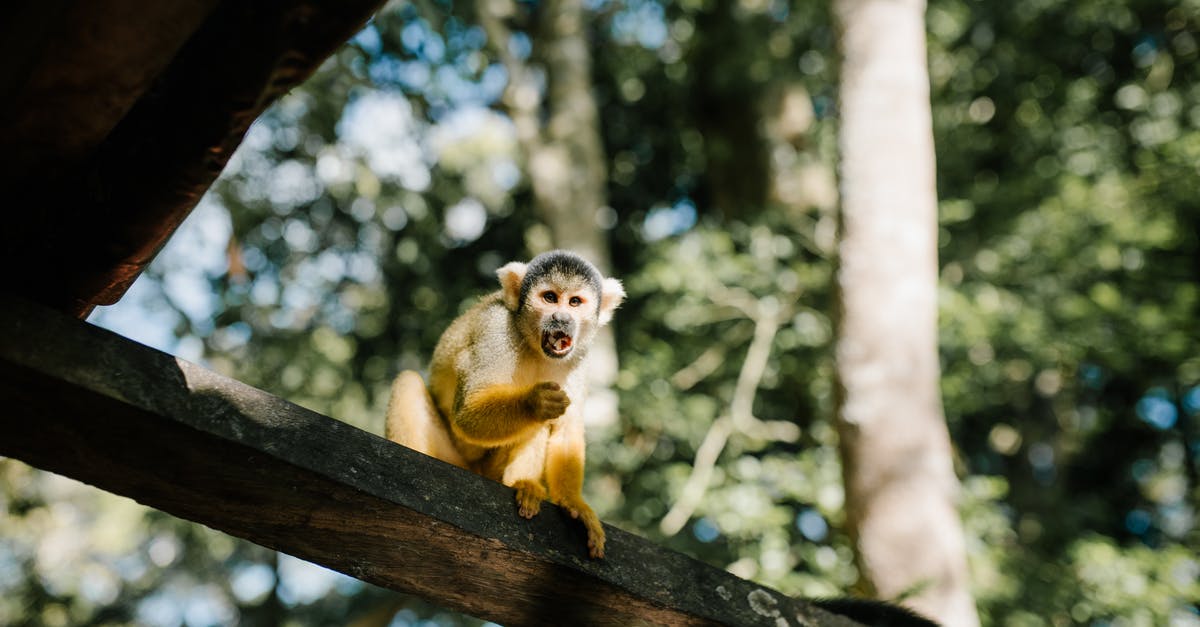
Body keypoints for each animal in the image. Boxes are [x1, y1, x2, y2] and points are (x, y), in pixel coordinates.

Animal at [386, 248, 628, 557]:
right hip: (452, 458)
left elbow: (567, 425)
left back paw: (523, 484)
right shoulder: (496, 328)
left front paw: (573, 503)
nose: (561, 317)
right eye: (550, 297)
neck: (534, 344)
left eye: (575, 302)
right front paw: (533, 402)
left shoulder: (579, 355)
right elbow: (468, 411)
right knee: (408, 381)